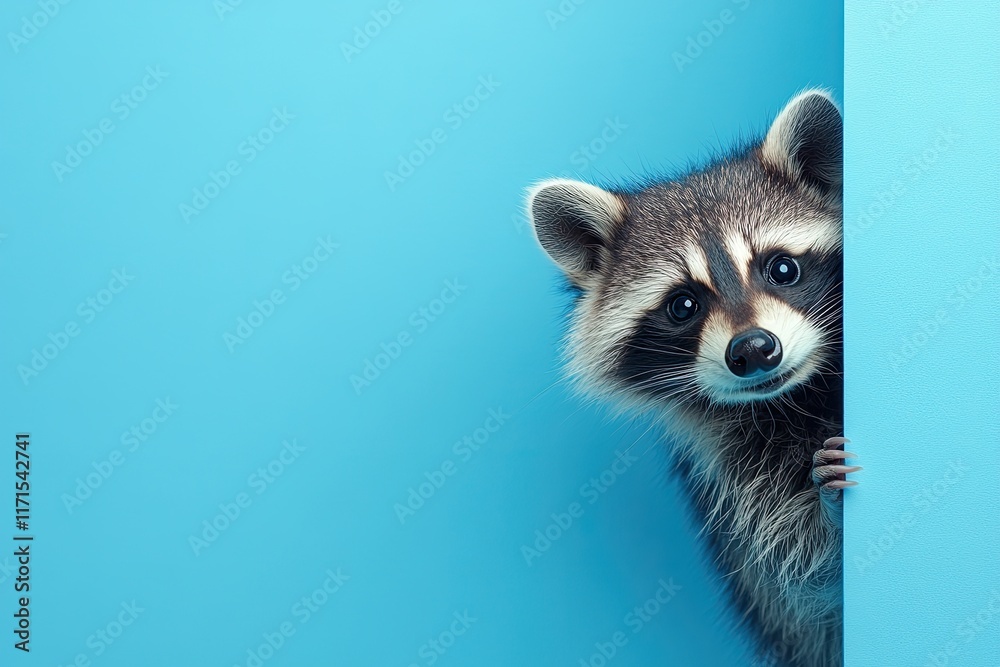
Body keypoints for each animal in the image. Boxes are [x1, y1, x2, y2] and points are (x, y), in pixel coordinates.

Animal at [525, 90, 858, 667]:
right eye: (683, 305)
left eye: (782, 269)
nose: (753, 350)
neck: (791, 400)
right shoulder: (734, 484)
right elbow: (805, 593)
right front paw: (829, 517)